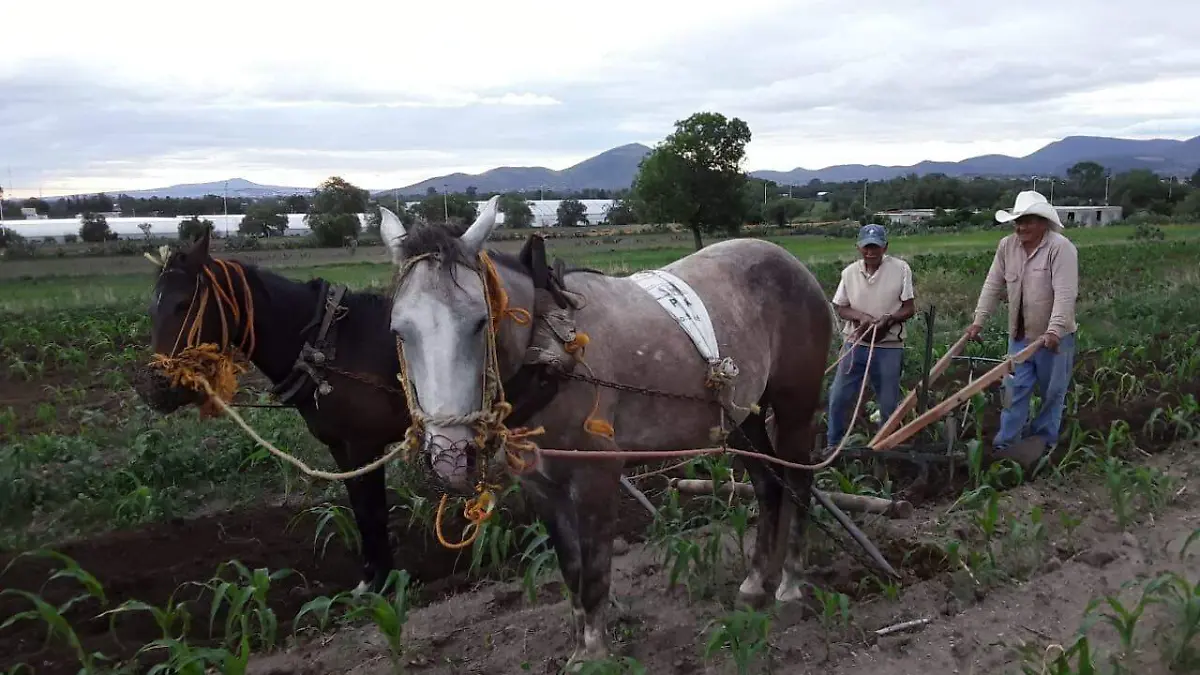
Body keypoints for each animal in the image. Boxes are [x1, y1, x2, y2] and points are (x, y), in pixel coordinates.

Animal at [379, 195, 830, 662]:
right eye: (399, 330)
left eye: (479, 321)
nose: (451, 455)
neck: (548, 350)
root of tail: (789, 261)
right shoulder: (542, 487)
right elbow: (571, 570)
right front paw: (580, 648)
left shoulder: (598, 476)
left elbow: (594, 572)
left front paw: (595, 653)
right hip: (742, 415)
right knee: (768, 486)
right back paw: (756, 583)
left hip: (796, 406)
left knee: (799, 482)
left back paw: (790, 586)